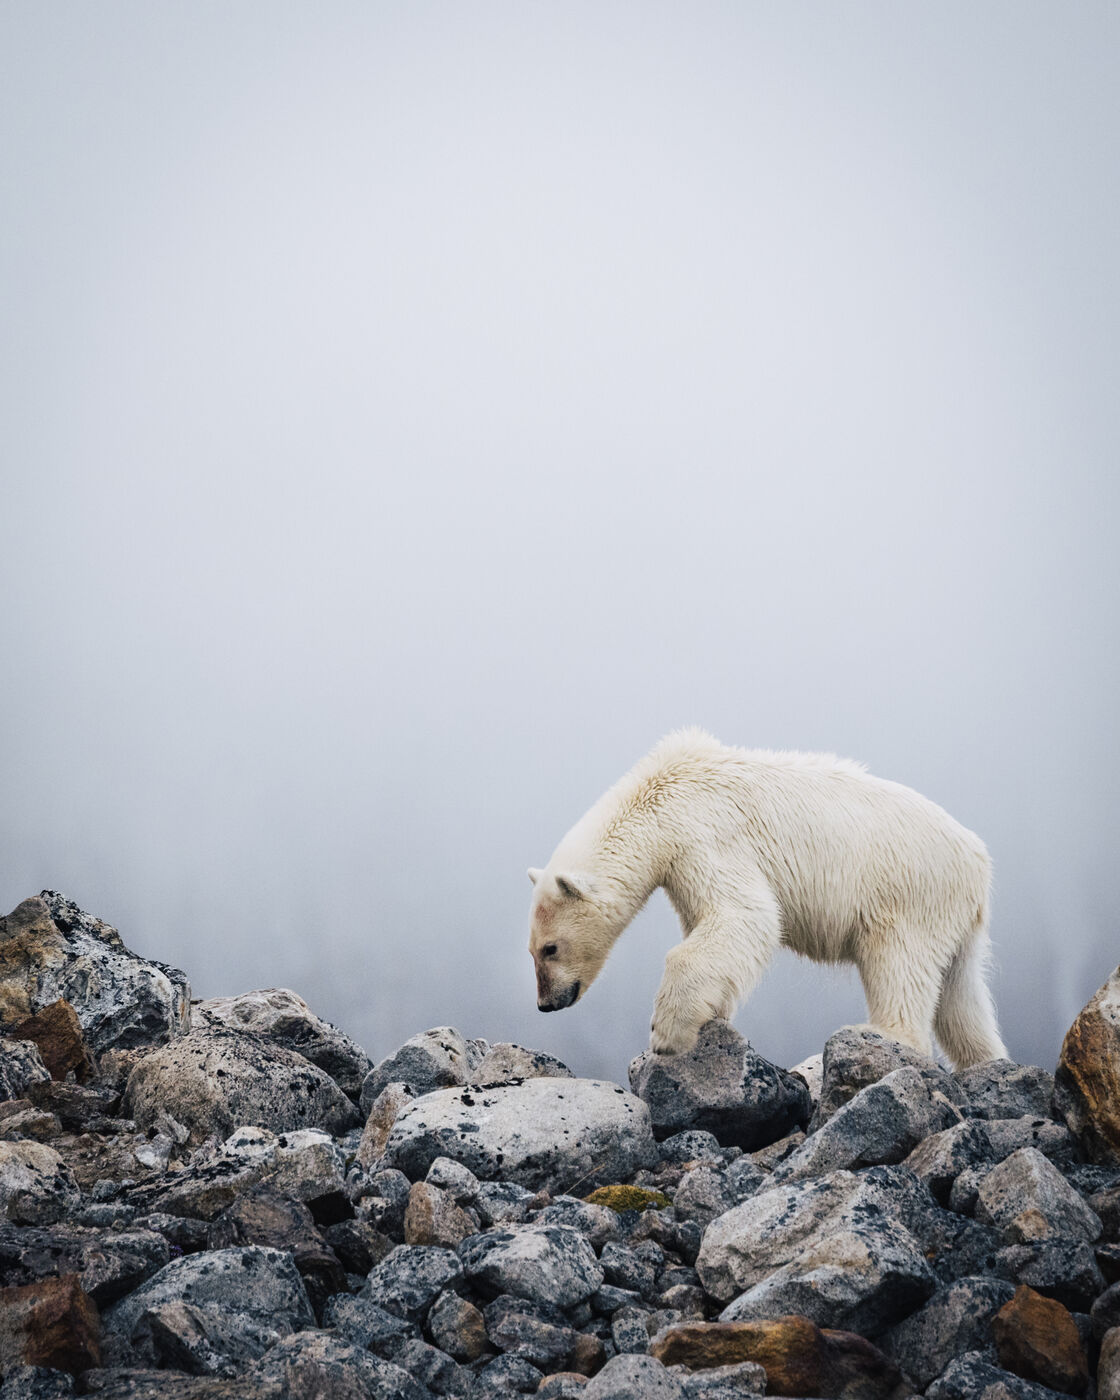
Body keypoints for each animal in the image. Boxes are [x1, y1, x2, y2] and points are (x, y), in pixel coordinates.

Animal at [528, 727, 1007, 1068]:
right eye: (532, 950)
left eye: (550, 948)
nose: (546, 1004)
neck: (659, 798)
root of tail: (979, 862)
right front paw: (713, 1013)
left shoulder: (704, 835)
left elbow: (746, 915)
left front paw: (666, 1034)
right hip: (954, 920)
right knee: (960, 997)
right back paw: (985, 1060)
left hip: (908, 893)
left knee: (899, 962)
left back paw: (883, 1033)